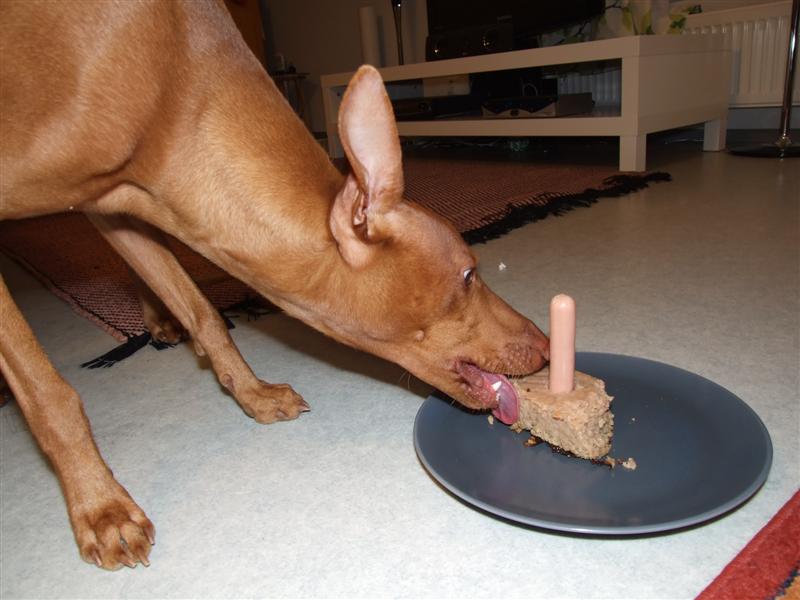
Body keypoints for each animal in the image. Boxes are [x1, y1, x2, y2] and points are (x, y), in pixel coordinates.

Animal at [0, 0, 549, 569]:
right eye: (468, 273)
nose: (547, 346)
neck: (173, 86)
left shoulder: (123, 201)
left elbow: (204, 314)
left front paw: (253, 394)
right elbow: (49, 395)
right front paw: (102, 509)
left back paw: (158, 320)